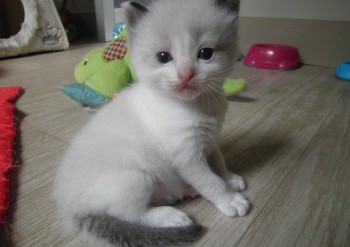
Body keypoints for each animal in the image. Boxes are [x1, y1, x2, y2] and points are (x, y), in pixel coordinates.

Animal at [53, 0, 249, 246]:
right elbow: (211, 181)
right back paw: (172, 217)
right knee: (131, 213)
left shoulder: (210, 142)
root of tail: (71, 205)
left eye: (206, 53)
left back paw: (187, 191)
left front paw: (230, 179)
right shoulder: (188, 156)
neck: (198, 105)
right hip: (137, 177)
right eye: (163, 57)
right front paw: (230, 200)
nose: (186, 74)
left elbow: (219, 164)